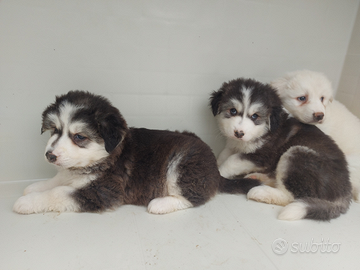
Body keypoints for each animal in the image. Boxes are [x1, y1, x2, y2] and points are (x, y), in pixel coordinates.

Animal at [12, 90, 258, 215]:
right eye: (54, 130)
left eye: (79, 137)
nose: (50, 156)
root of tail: (215, 170)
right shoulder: (70, 173)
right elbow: (57, 180)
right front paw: (35, 187)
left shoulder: (104, 191)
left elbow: (59, 193)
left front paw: (27, 202)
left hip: (181, 165)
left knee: (195, 197)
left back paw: (161, 204)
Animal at [210, 78, 352, 221]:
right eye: (233, 111)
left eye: (255, 116)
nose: (239, 133)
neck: (266, 129)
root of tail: (345, 190)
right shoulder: (233, 145)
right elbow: (224, 155)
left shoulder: (262, 156)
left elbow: (232, 160)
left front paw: (219, 173)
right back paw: (259, 178)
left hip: (297, 153)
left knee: (291, 196)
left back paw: (261, 192)